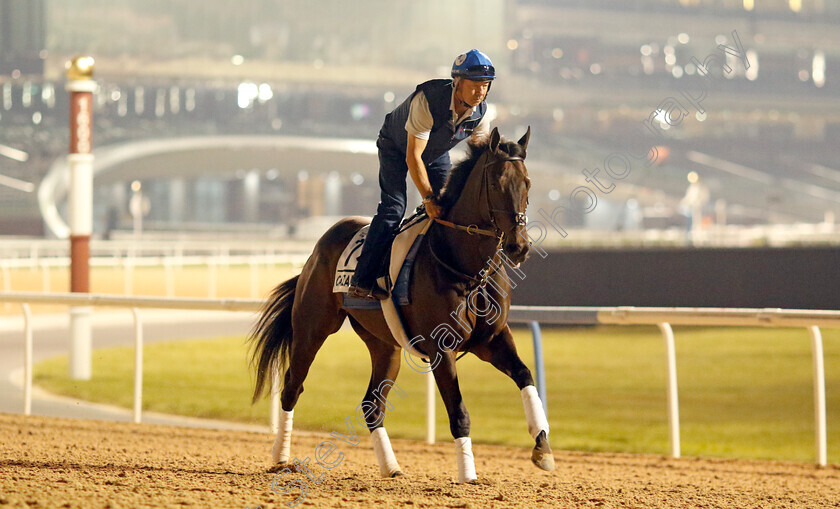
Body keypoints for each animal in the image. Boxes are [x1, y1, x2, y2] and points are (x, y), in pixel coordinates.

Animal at [246, 125, 556, 482]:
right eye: (495, 184)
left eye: (527, 183)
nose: (519, 247)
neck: (463, 265)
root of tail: (318, 248)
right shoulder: (441, 348)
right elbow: (459, 410)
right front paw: (468, 474)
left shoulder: (492, 338)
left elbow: (524, 375)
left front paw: (542, 447)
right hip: (312, 328)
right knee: (292, 387)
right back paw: (281, 459)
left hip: (385, 345)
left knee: (372, 405)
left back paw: (391, 466)